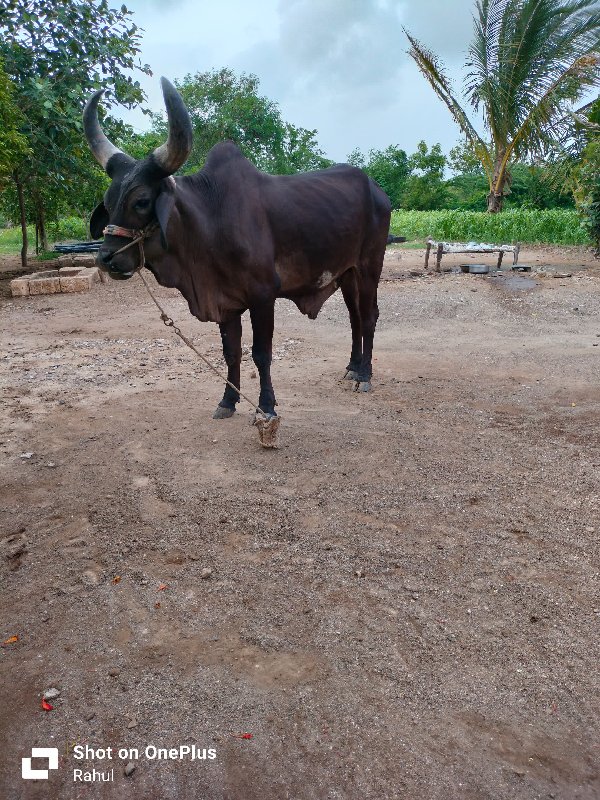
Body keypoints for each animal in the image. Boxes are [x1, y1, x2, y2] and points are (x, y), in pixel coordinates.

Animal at [85, 76, 394, 418]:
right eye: (108, 201)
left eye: (141, 201)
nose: (106, 258)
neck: (210, 220)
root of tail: (377, 190)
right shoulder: (226, 303)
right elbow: (231, 353)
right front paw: (227, 401)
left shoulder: (263, 295)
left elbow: (261, 353)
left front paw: (267, 406)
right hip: (346, 273)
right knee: (355, 317)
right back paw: (352, 367)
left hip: (370, 266)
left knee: (369, 316)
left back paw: (365, 375)